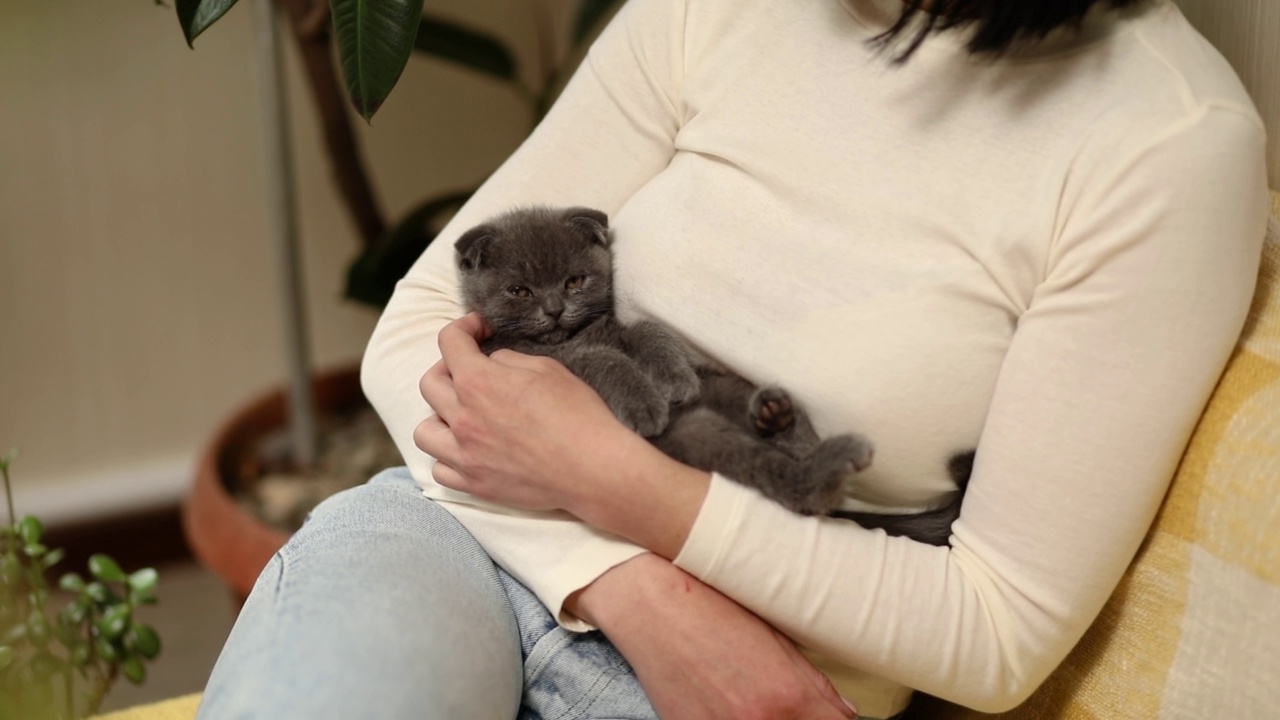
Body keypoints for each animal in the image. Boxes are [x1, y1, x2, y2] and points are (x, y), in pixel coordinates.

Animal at [455, 204, 962, 540]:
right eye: (519, 291)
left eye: (575, 280)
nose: (555, 310)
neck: (569, 338)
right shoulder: (542, 359)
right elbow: (603, 360)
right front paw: (645, 404)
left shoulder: (616, 329)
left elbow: (648, 329)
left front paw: (673, 379)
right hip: (698, 439)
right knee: (790, 486)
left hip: (721, 387)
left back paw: (780, 418)